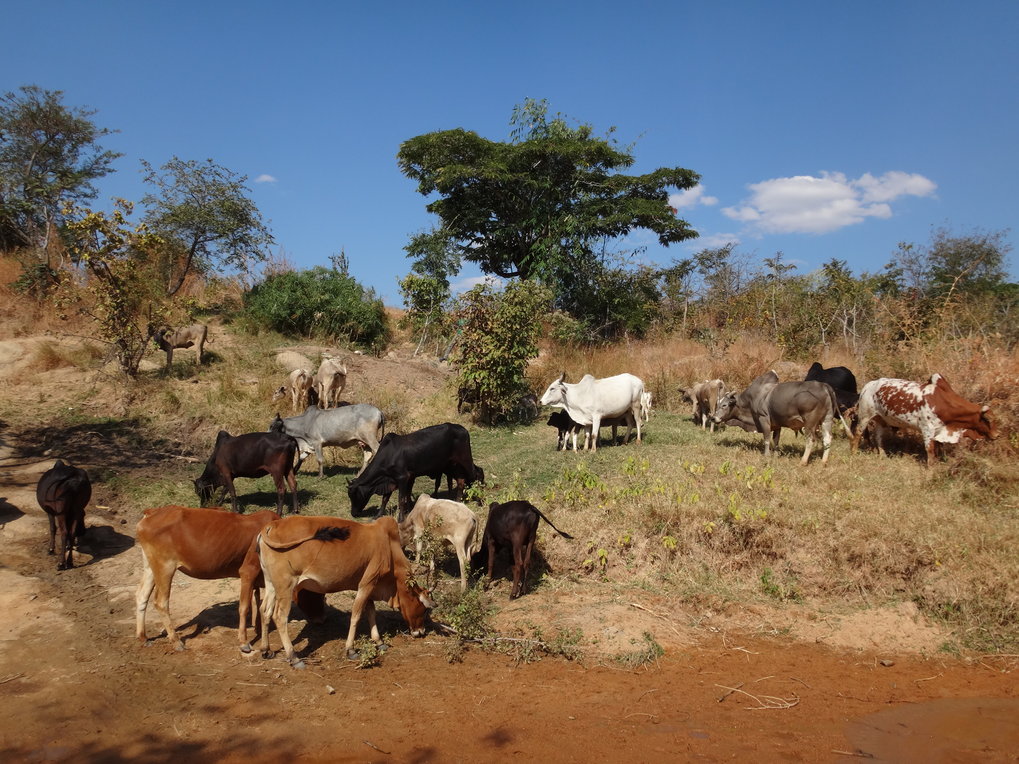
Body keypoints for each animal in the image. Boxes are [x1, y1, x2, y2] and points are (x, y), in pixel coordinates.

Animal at [258, 515, 434, 668]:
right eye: (423, 609)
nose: (421, 631)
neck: (389, 546)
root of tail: (272, 525)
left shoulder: (369, 585)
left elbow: (371, 612)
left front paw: (378, 641)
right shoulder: (367, 583)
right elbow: (356, 615)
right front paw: (350, 650)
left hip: (271, 584)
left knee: (265, 611)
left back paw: (266, 650)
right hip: (286, 586)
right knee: (279, 617)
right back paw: (294, 657)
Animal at [348, 421, 478, 525]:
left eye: (354, 495)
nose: (353, 513)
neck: (388, 455)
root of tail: (462, 428)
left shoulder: (402, 478)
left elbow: (401, 499)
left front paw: (401, 518)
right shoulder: (392, 479)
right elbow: (386, 498)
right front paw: (378, 515)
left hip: (465, 459)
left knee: (475, 474)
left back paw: (477, 498)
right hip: (452, 465)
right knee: (461, 481)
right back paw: (457, 501)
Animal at [709, 370, 843, 466]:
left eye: (724, 405)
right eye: (718, 404)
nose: (713, 418)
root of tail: (824, 386)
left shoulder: (764, 420)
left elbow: (767, 439)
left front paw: (766, 455)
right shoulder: (777, 424)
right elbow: (776, 440)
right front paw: (776, 454)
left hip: (810, 423)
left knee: (811, 440)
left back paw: (803, 461)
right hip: (827, 420)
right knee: (827, 439)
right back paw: (823, 461)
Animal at [847, 374, 998, 470]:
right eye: (988, 419)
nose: (996, 435)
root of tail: (869, 385)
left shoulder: (938, 430)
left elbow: (939, 447)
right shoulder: (927, 430)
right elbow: (930, 450)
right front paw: (931, 469)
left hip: (881, 419)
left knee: (878, 437)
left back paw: (882, 455)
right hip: (865, 416)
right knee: (858, 433)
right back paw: (853, 453)